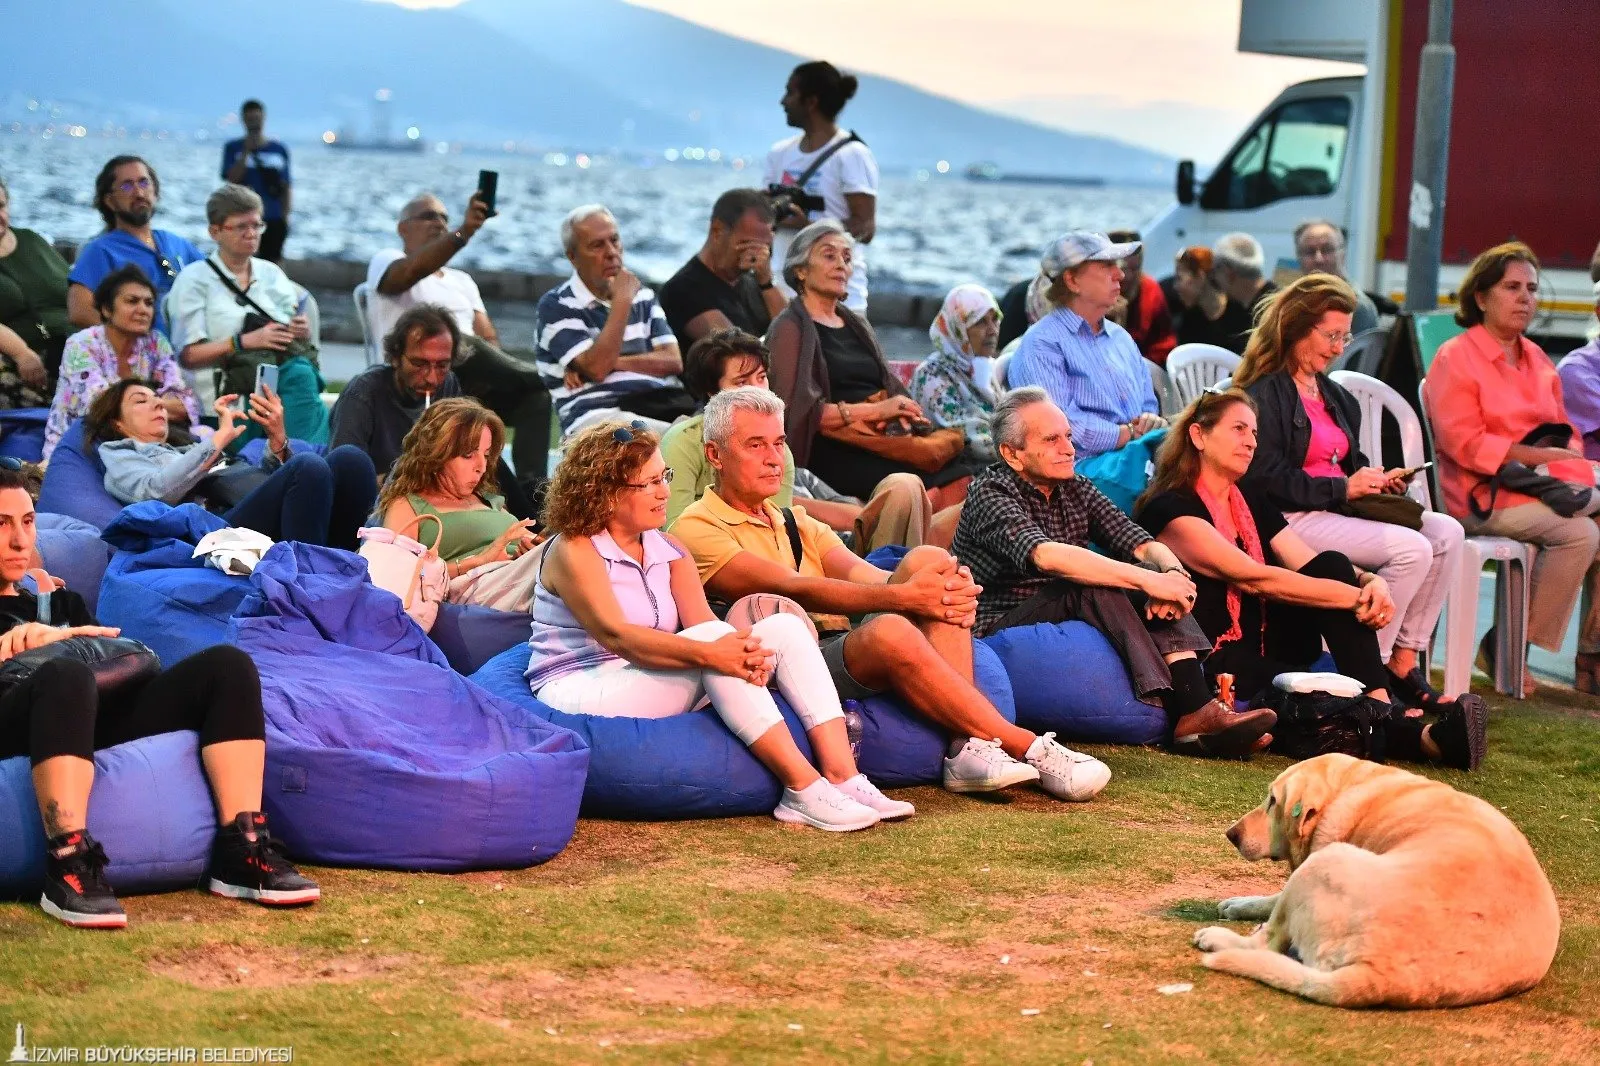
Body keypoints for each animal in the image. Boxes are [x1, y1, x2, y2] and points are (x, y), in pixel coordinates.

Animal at [1196, 745, 1555, 1005]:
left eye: (1272, 800)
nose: (1231, 834)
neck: (1348, 785)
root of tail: (1377, 976)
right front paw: (1240, 903)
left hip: (1329, 859)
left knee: (1267, 943)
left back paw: (1217, 938)